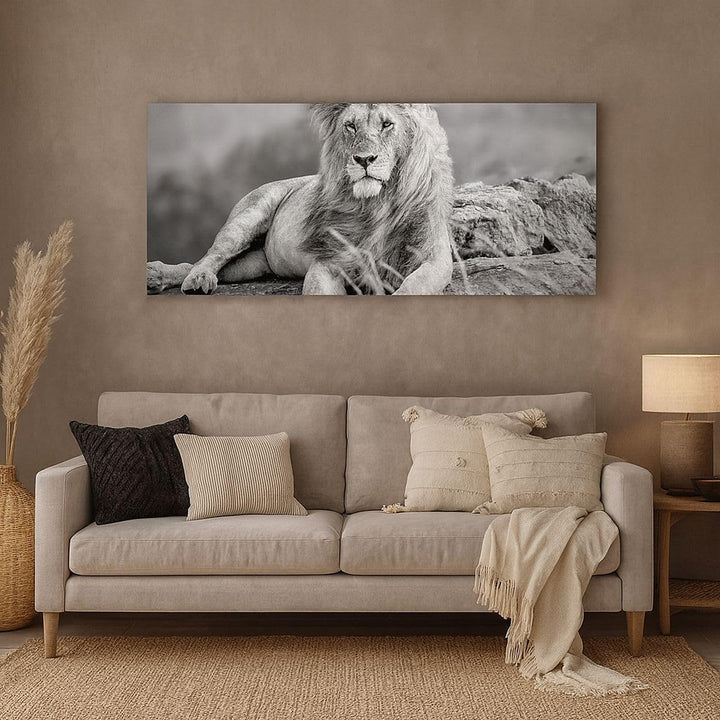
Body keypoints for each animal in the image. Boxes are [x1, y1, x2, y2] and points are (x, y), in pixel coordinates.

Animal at [147, 103, 454, 295]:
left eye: (387, 124)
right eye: (350, 126)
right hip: (246, 218)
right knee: (210, 257)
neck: (378, 204)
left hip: (253, 264)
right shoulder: (328, 262)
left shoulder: (434, 259)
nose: (364, 159)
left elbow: (414, 287)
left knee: (205, 266)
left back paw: (161, 277)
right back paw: (191, 279)